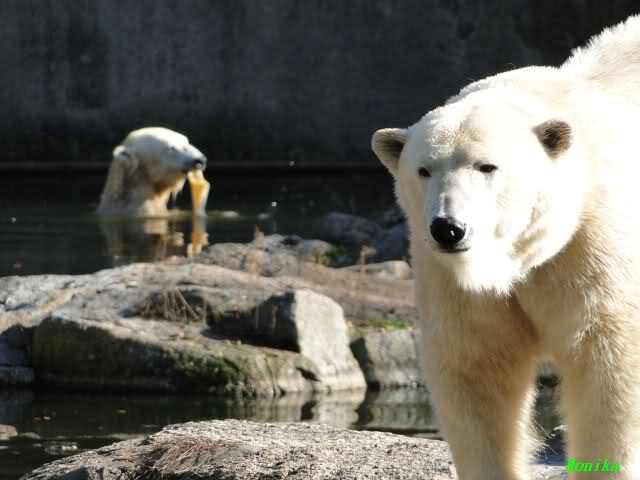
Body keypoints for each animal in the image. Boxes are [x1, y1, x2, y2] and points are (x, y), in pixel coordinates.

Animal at [372, 16, 640, 480]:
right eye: (424, 170)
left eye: (487, 166)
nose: (449, 229)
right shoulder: (455, 281)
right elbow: (478, 367)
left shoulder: (591, 247)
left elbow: (606, 365)